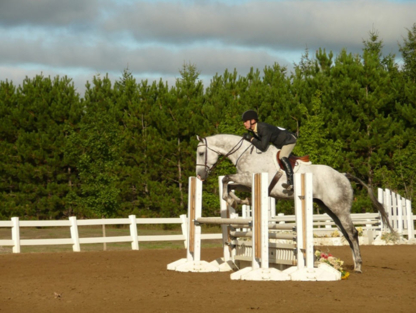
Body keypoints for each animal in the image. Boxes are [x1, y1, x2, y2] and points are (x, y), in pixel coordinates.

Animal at [196, 133, 394, 272]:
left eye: (200, 153)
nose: (200, 176)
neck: (246, 154)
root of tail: (343, 175)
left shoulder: (250, 179)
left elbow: (226, 179)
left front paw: (233, 200)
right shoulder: (247, 182)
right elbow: (229, 184)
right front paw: (236, 200)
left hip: (339, 208)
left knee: (352, 232)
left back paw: (359, 266)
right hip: (329, 208)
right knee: (346, 233)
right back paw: (354, 263)